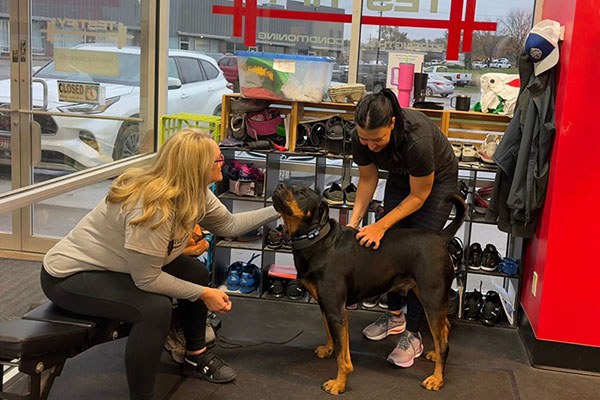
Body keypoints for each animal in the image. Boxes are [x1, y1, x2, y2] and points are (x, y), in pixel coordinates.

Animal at [270, 184, 464, 394]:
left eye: (302, 193)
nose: (280, 185)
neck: (318, 240)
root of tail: (440, 237)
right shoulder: (325, 305)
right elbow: (331, 334)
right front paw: (328, 349)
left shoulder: (337, 312)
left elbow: (343, 356)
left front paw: (339, 383)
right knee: (446, 327)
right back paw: (435, 356)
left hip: (432, 297)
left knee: (444, 343)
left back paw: (437, 379)